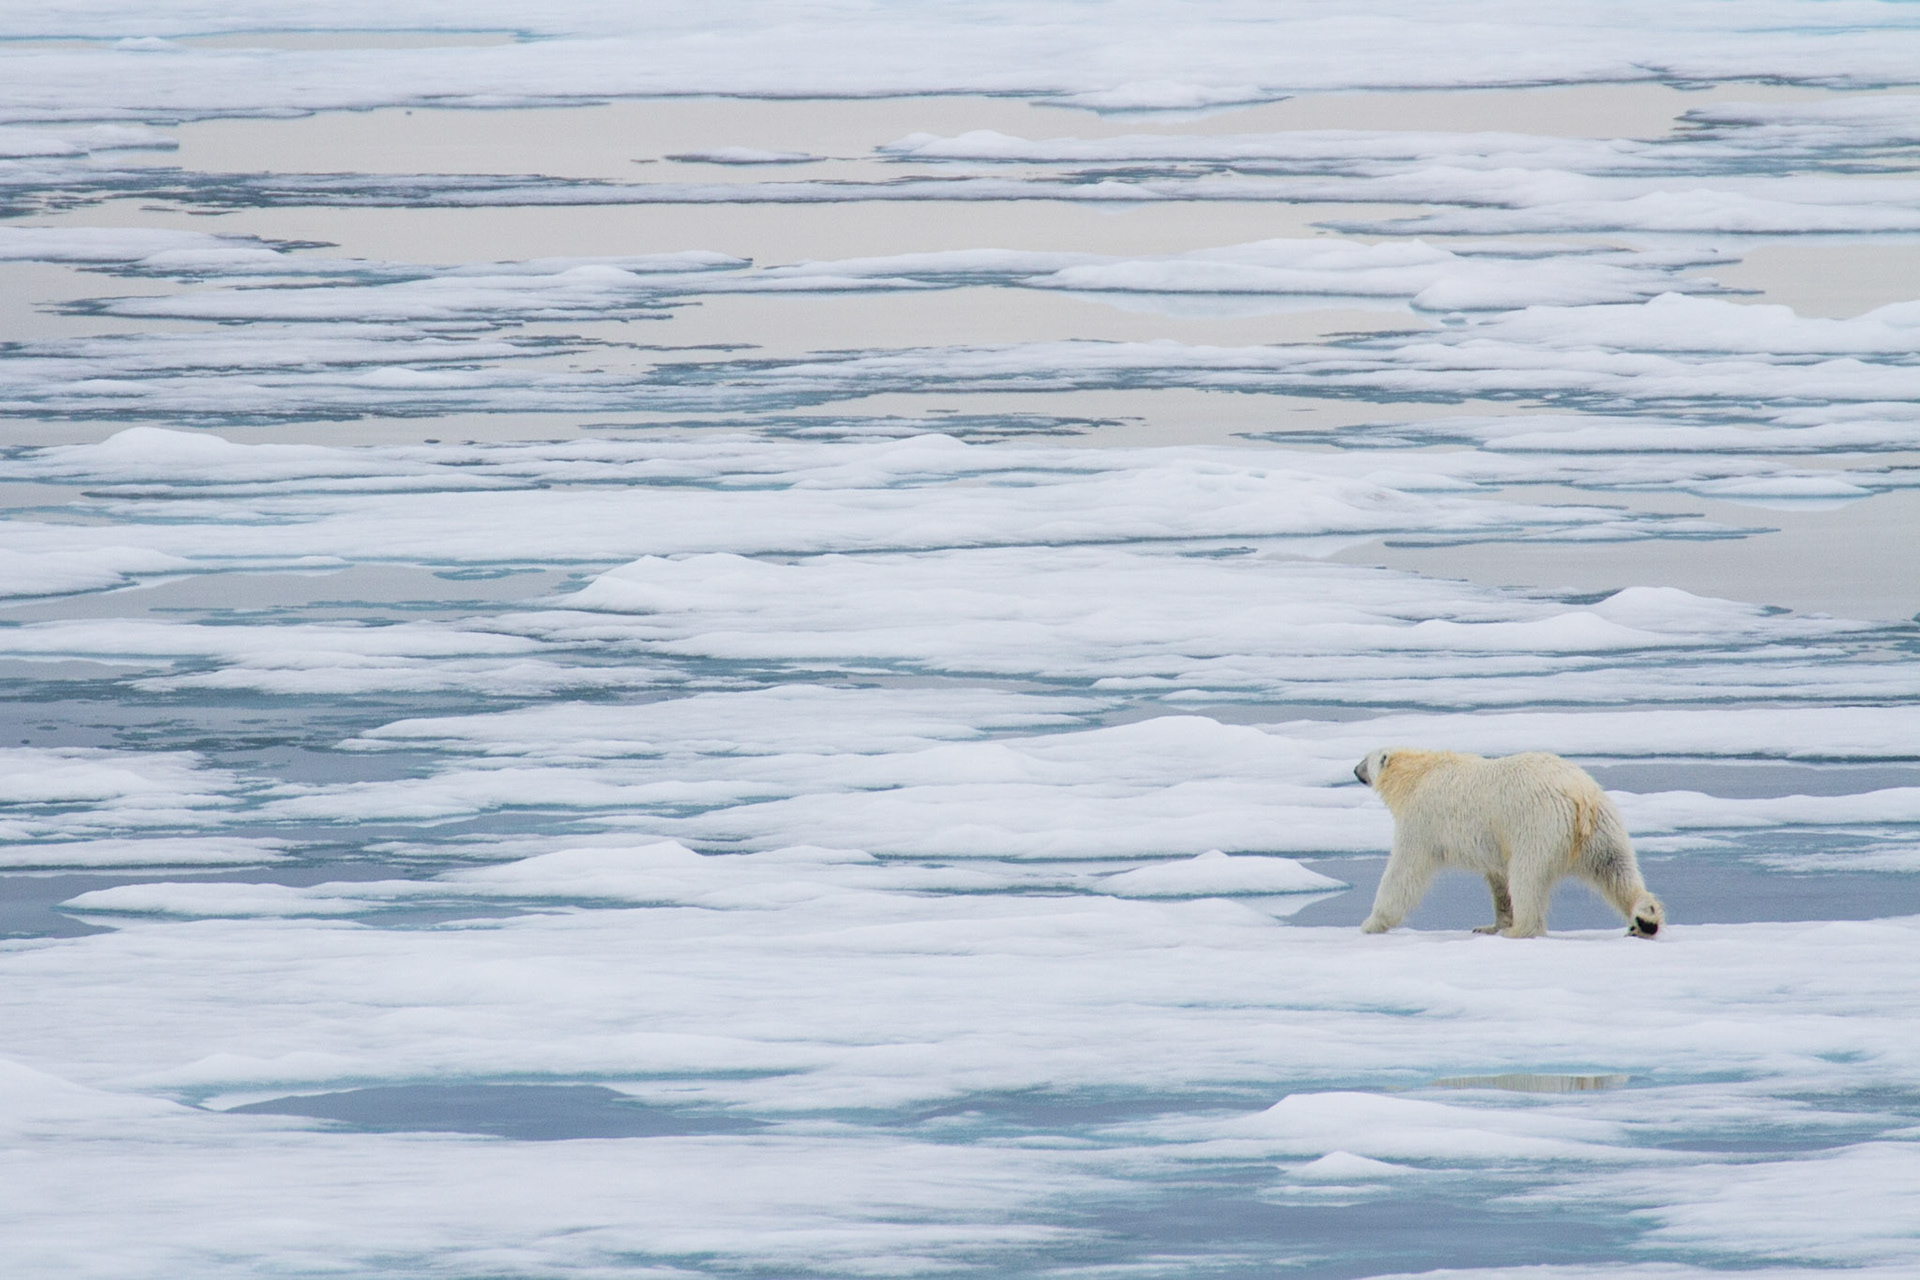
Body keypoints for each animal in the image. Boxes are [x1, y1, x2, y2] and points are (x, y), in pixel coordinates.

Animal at [1352, 747, 1664, 939]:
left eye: (1365, 758)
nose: (1354, 770)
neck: (1417, 775)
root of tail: (1579, 796)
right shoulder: (1492, 840)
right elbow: (1498, 880)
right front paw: (1491, 925)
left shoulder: (1422, 821)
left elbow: (1404, 871)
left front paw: (1370, 923)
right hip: (1604, 826)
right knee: (1616, 870)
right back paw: (1645, 920)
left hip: (1536, 826)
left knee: (1527, 877)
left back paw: (1521, 929)